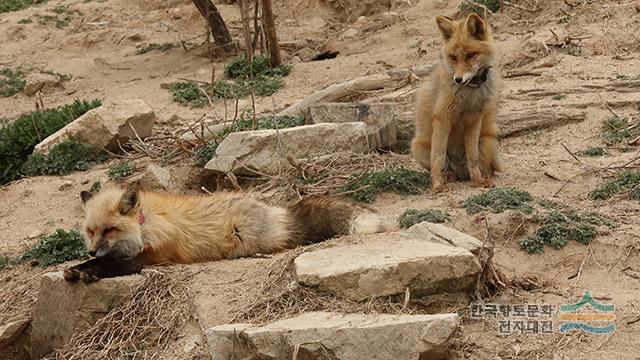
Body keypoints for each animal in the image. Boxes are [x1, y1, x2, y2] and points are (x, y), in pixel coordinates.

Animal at [63, 187, 384, 282]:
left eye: (109, 229)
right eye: (91, 231)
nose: (91, 249)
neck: (145, 225)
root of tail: (277, 211)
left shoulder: (155, 256)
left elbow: (112, 265)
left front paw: (91, 270)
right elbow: (102, 261)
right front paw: (79, 267)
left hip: (244, 239)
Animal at [410, 13, 504, 191]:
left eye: (470, 55)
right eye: (453, 58)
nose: (458, 79)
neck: (469, 93)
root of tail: (461, 174)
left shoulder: (475, 120)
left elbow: (473, 157)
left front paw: (478, 180)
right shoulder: (442, 119)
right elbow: (438, 157)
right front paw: (438, 184)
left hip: (486, 142)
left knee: (487, 167)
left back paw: (483, 176)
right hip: (418, 149)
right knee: (443, 165)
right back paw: (448, 177)